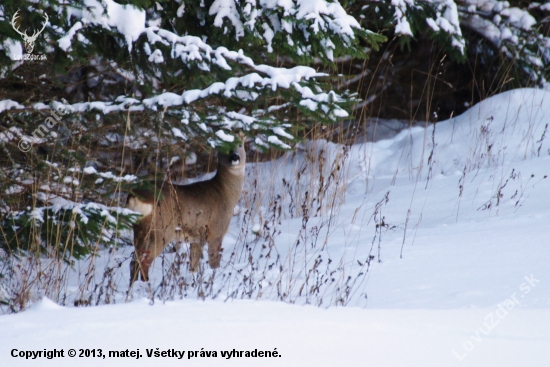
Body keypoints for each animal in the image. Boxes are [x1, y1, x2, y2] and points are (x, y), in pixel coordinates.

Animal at [126, 142, 247, 284]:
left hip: (139, 230)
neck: (225, 193)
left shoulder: (196, 238)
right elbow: (214, 263)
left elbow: (193, 266)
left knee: (134, 261)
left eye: (240, 144)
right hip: (162, 230)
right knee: (145, 261)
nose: (235, 157)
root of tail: (135, 196)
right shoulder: (216, 231)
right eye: (224, 145)